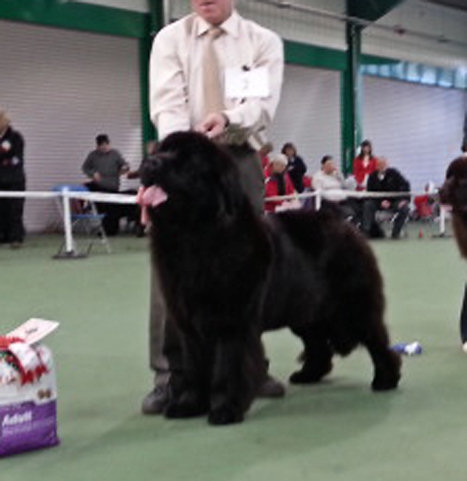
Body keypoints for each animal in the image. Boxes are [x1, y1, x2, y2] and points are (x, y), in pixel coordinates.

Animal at [140, 131, 401, 425]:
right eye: (160, 151)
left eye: (186, 160)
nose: (149, 163)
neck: (193, 234)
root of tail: (347, 226)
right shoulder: (189, 322)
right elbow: (194, 366)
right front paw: (188, 404)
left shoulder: (233, 322)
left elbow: (228, 366)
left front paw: (225, 408)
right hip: (306, 311)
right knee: (318, 345)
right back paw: (308, 375)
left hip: (352, 308)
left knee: (376, 340)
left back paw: (386, 379)